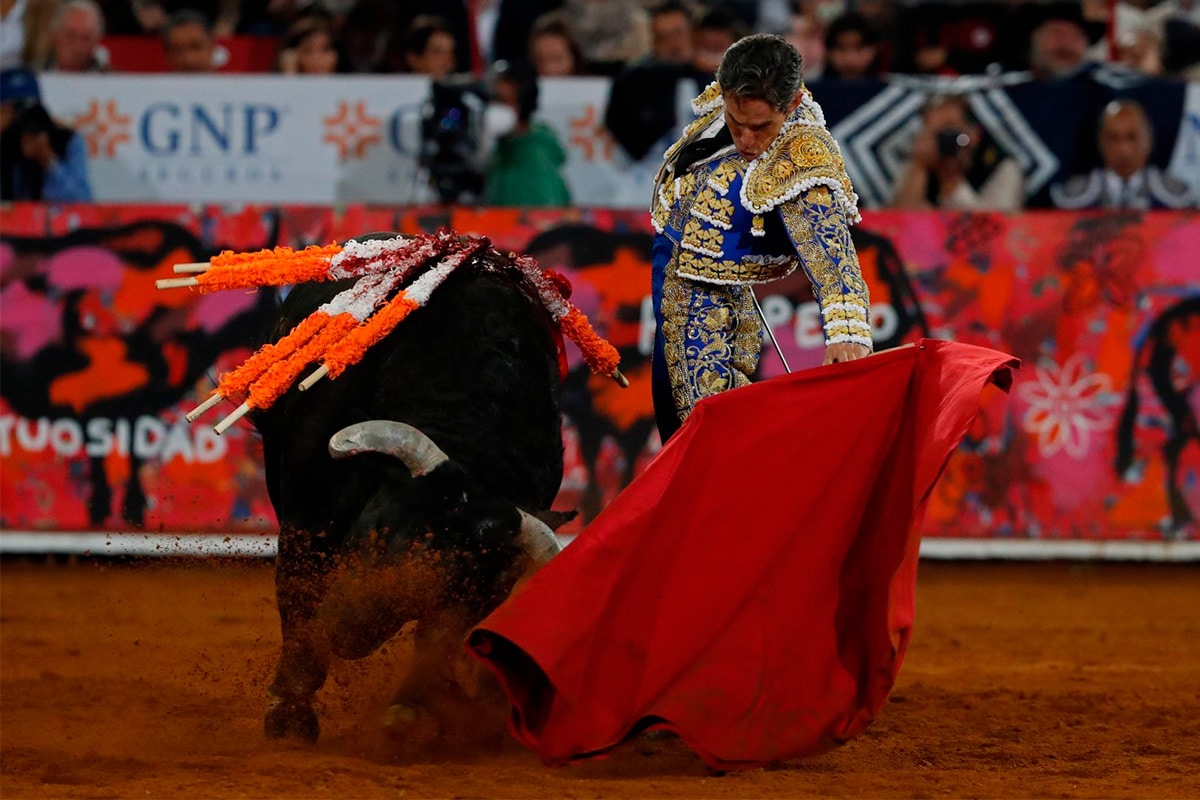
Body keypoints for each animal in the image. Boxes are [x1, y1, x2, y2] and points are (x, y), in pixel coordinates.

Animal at [250, 241, 568, 743]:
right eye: (373, 535)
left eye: (442, 579)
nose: (345, 632)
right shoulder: (309, 516)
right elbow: (298, 589)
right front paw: (290, 711)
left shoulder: (488, 581)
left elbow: (439, 637)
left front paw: (411, 709)